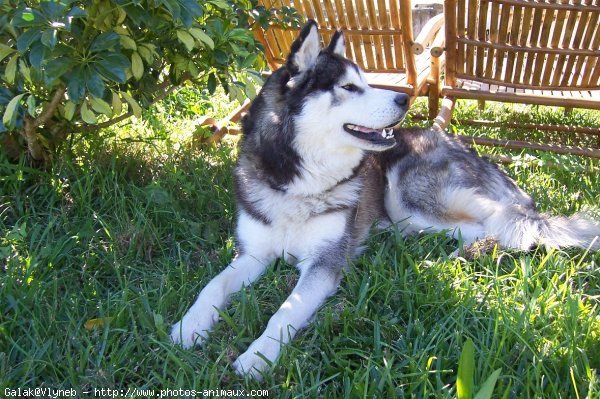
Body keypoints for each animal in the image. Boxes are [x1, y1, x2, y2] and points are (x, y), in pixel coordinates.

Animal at [170, 21, 600, 378]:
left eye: (366, 81)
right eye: (347, 87)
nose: (404, 100)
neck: (298, 181)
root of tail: (460, 144)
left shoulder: (324, 264)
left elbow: (285, 311)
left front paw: (257, 357)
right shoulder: (253, 255)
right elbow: (212, 287)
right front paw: (186, 327)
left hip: (409, 195)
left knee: (506, 221)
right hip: (411, 214)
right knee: (477, 229)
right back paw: (442, 257)